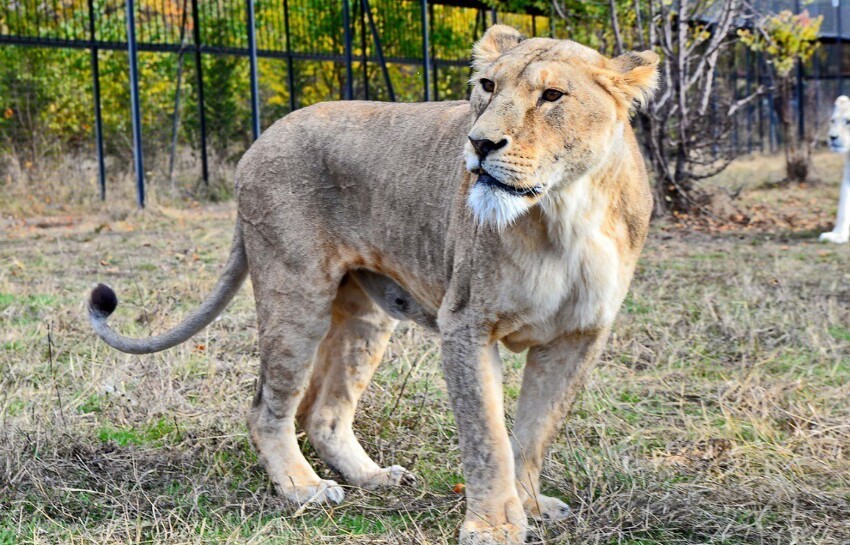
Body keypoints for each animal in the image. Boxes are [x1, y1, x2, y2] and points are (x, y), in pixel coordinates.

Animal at [88, 26, 656, 544]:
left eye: (552, 95)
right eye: (488, 86)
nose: (479, 143)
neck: (565, 213)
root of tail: (261, 139)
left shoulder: (578, 338)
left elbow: (535, 432)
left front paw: (532, 505)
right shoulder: (467, 325)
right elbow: (488, 438)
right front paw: (493, 526)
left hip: (366, 316)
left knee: (323, 413)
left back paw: (374, 477)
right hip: (296, 297)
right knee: (267, 408)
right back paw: (302, 487)